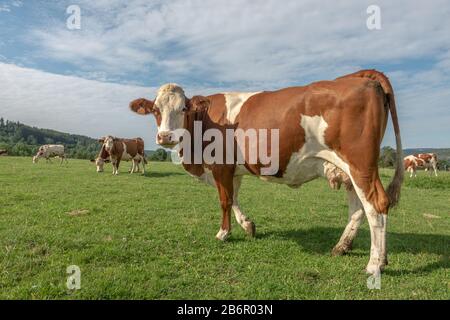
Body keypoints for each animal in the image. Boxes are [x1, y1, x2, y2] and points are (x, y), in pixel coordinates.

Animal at [129, 68, 404, 276]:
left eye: (183, 109)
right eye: (155, 110)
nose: (165, 137)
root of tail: (357, 76)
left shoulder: (220, 166)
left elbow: (224, 200)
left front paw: (223, 233)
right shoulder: (233, 170)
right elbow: (234, 198)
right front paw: (248, 226)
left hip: (360, 165)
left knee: (376, 205)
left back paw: (374, 264)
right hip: (347, 170)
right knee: (358, 209)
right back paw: (346, 248)